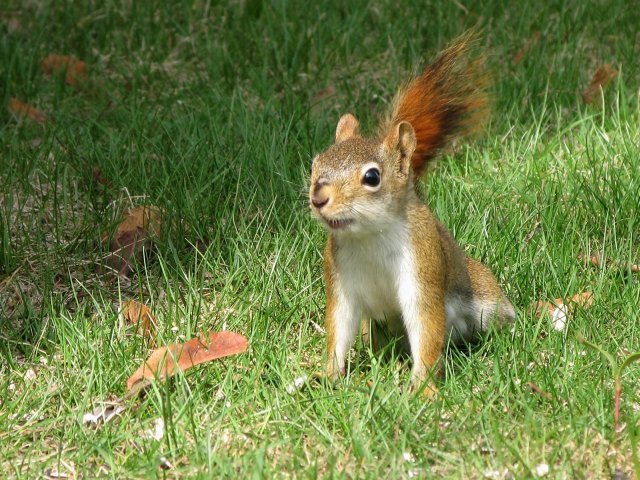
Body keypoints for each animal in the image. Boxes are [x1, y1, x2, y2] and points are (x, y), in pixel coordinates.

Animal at [308, 33, 516, 397]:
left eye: (372, 177)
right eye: (316, 163)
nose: (318, 197)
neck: (369, 236)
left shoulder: (423, 266)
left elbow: (426, 324)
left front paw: (423, 389)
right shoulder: (340, 280)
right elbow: (339, 327)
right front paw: (329, 376)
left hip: (484, 298)